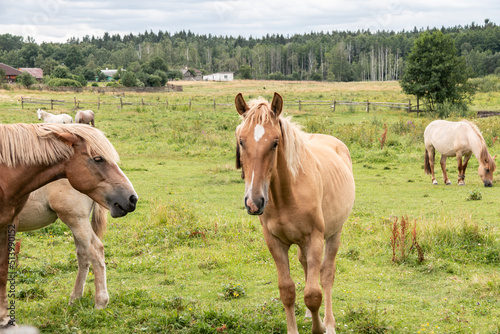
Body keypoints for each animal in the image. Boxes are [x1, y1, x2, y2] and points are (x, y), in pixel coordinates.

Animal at [234, 93, 356, 334]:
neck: (287, 195)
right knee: (306, 265)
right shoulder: (275, 242)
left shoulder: (315, 239)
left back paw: (329, 323)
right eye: (241, 141)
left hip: (334, 233)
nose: (254, 202)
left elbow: (313, 294)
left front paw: (319, 328)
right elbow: (287, 291)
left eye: (275, 142)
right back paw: (310, 315)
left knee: (326, 275)